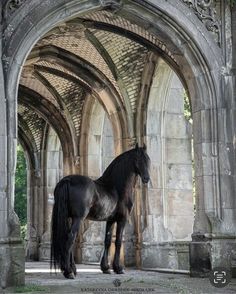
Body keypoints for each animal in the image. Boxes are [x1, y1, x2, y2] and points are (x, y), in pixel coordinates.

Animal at [50, 144, 150, 280]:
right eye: (138, 160)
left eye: (148, 160)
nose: (146, 178)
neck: (116, 187)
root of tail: (67, 180)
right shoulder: (122, 219)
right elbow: (118, 241)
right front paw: (118, 268)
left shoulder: (110, 220)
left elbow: (107, 240)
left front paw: (106, 268)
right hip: (78, 218)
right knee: (70, 238)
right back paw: (69, 272)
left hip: (69, 218)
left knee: (68, 238)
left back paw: (72, 270)